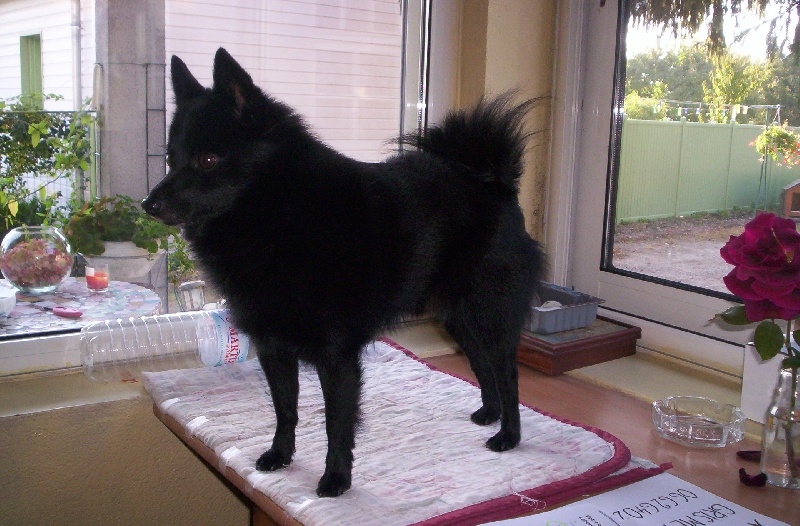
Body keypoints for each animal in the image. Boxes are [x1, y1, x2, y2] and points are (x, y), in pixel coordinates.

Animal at [142, 48, 544, 498]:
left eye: (207, 159)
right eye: (171, 159)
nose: (147, 205)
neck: (277, 214)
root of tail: (496, 182)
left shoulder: (336, 355)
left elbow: (336, 423)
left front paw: (335, 478)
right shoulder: (273, 348)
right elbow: (285, 410)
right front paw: (280, 456)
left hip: (489, 313)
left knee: (507, 374)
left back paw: (508, 435)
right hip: (459, 318)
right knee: (482, 364)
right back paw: (488, 413)